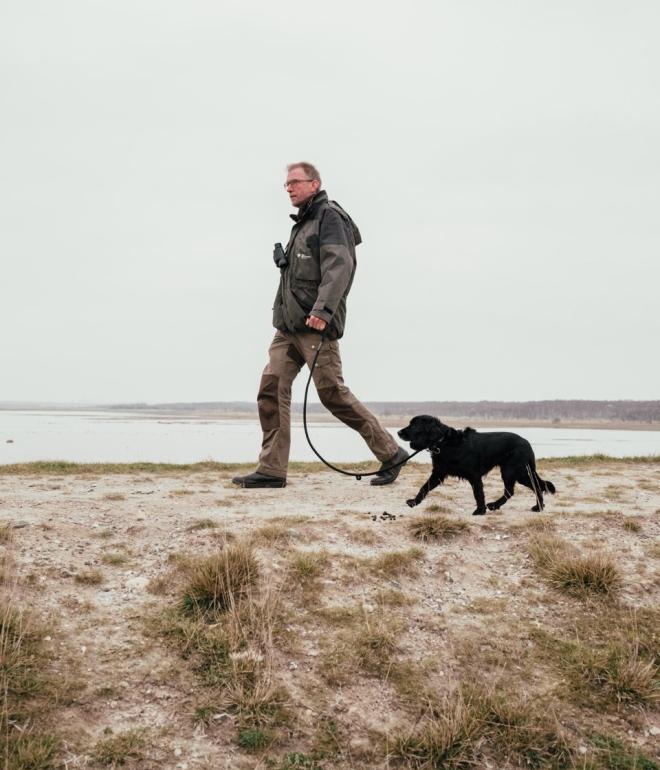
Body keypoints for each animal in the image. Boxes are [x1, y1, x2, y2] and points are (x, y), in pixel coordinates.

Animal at [398, 414, 556, 516]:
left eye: (414, 425)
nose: (398, 432)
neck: (443, 442)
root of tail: (526, 442)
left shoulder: (474, 475)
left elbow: (478, 494)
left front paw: (480, 511)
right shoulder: (438, 473)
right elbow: (424, 488)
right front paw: (414, 501)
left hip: (514, 471)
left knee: (532, 487)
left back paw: (538, 507)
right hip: (513, 471)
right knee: (513, 490)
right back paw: (496, 505)